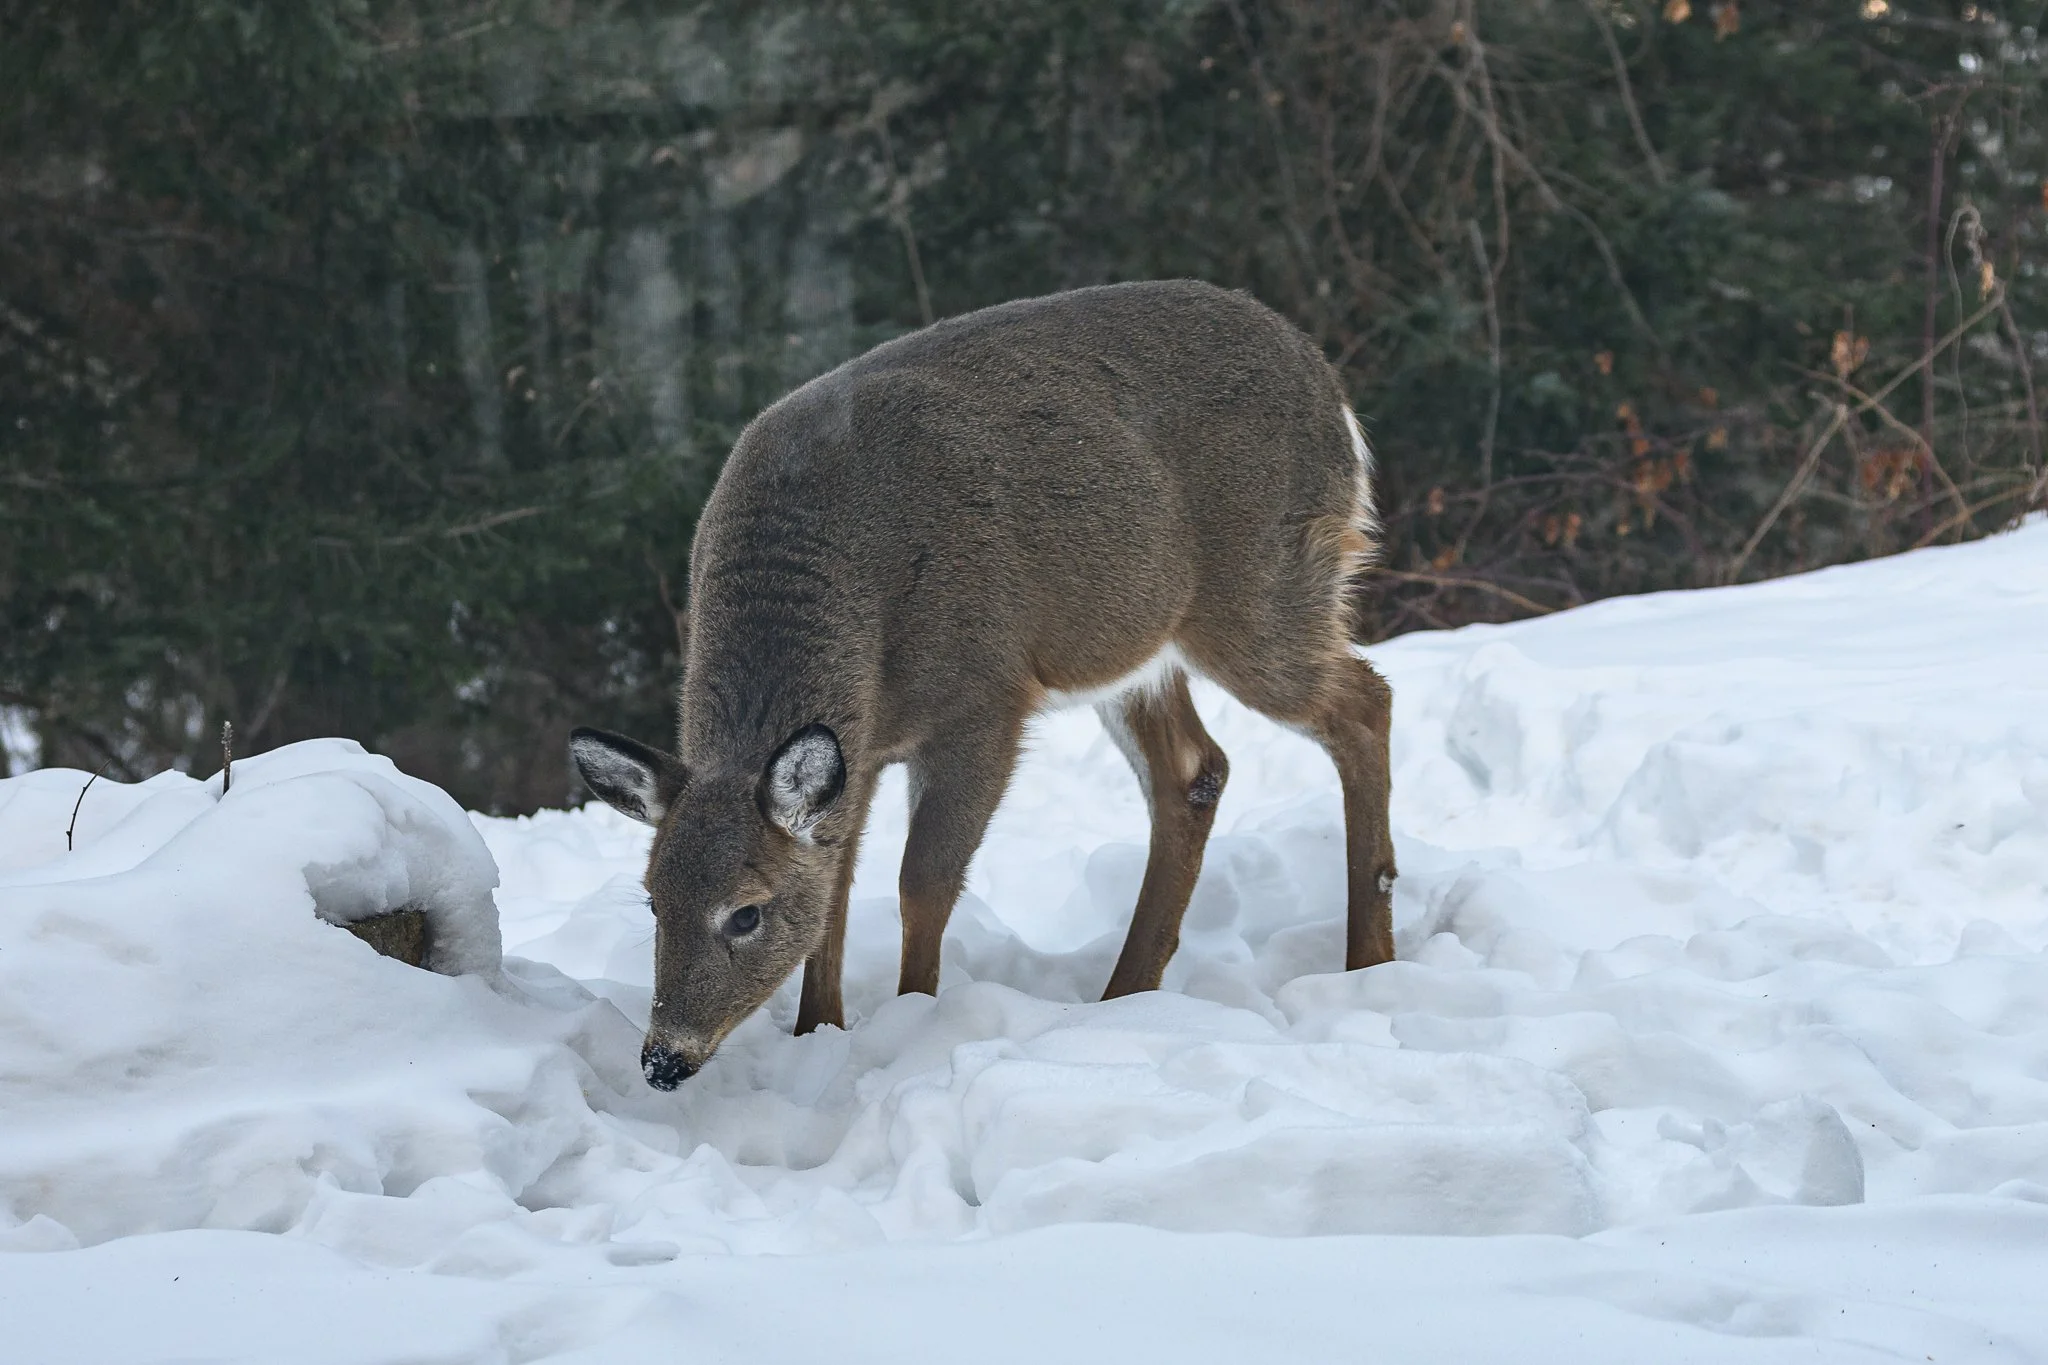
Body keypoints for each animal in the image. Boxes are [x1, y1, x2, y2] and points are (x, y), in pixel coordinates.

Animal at [569, 279, 1396, 1091]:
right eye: (653, 901)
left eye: (746, 912)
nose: (663, 1059)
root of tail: (1335, 396)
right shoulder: (860, 747)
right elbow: (836, 889)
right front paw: (818, 1033)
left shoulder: (984, 698)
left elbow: (922, 880)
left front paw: (912, 1020)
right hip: (1131, 647)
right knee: (1196, 768)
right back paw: (1125, 996)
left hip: (1260, 590)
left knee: (1365, 702)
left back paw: (1370, 961)